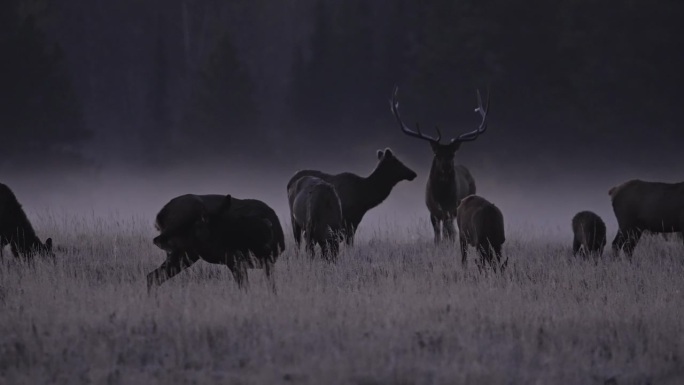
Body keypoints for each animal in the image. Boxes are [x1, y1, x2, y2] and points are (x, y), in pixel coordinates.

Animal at [390, 86, 486, 243]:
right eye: (437, 154)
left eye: (452, 154)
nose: (446, 167)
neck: (441, 196)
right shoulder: (432, 210)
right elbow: (437, 236)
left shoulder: (450, 208)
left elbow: (448, 233)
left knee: (454, 230)